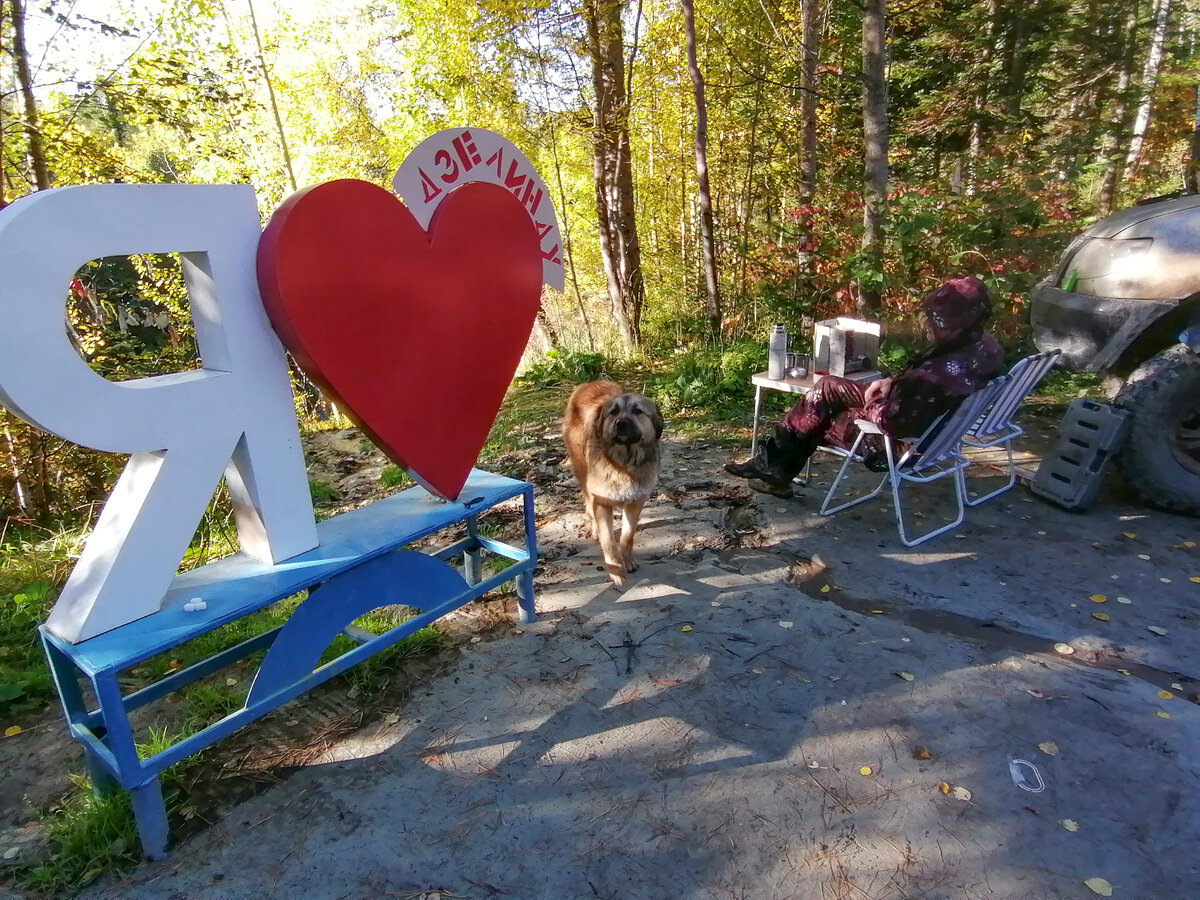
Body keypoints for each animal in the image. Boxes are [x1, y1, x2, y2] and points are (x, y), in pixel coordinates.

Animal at [564, 379, 667, 585]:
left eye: (637, 411)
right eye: (614, 412)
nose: (620, 423)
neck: (624, 464)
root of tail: (588, 383)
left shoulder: (636, 500)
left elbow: (627, 535)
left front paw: (627, 560)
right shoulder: (602, 501)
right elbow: (609, 540)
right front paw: (616, 570)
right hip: (582, 471)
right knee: (588, 504)